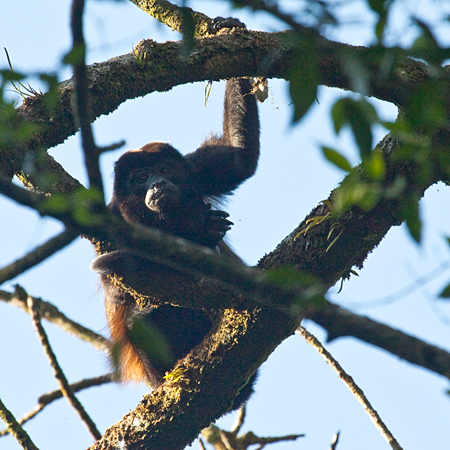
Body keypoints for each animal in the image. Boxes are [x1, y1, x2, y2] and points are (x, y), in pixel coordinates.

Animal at [92, 51, 260, 406]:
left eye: (165, 169)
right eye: (141, 178)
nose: (157, 183)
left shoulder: (197, 169)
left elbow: (241, 159)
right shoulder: (109, 219)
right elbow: (112, 282)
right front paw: (199, 230)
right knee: (141, 316)